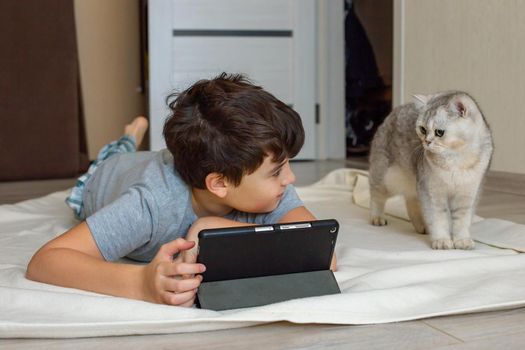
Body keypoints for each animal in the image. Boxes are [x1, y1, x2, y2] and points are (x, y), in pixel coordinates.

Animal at [366, 90, 494, 249]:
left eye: (439, 132)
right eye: (423, 129)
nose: (426, 142)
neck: (455, 159)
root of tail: (395, 111)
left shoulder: (468, 193)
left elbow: (462, 221)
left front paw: (462, 240)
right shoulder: (432, 190)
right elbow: (438, 219)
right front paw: (442, 240)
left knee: (411, 201)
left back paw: (422, 227)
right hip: (386, 177)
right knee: (376, 196)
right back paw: (377, 217)